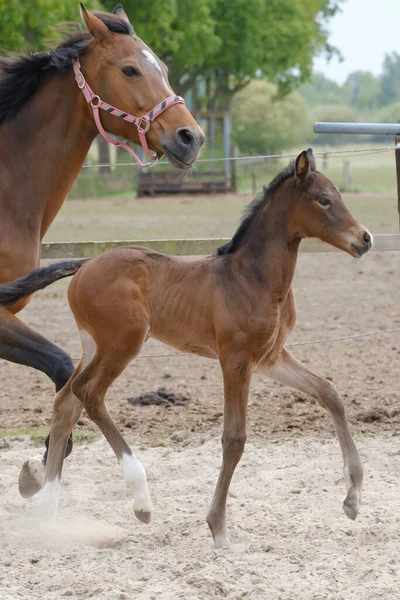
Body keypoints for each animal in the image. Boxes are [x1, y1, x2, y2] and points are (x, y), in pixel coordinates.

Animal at [1, 150, 374, 548]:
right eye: (324, 200)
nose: (365, 239)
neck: (253, 279)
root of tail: (86, 263)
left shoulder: (271, 358)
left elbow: (329, 392)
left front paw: (353, 499)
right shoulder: (236, 360)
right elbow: (234, 438)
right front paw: (218, 527)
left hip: (94, 345)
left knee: (67, 402)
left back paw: (47, 515)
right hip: (123, 343)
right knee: (90, 394)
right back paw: (141, 501)